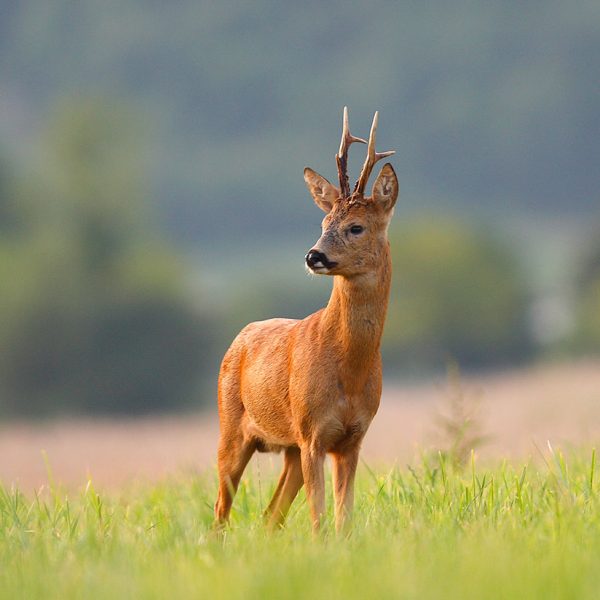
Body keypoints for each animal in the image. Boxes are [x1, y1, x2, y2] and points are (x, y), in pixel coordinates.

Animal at [216, 108, 398, 536]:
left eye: (356, 227)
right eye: (322, 223)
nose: (313, 256)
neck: (350, 369)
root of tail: (239, 338)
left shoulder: (351, 437)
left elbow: (343, 519)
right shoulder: (312, 431)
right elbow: (319, 519)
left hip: (288, 449)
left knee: (270, 515)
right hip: (232, 428)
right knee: (220, 510)